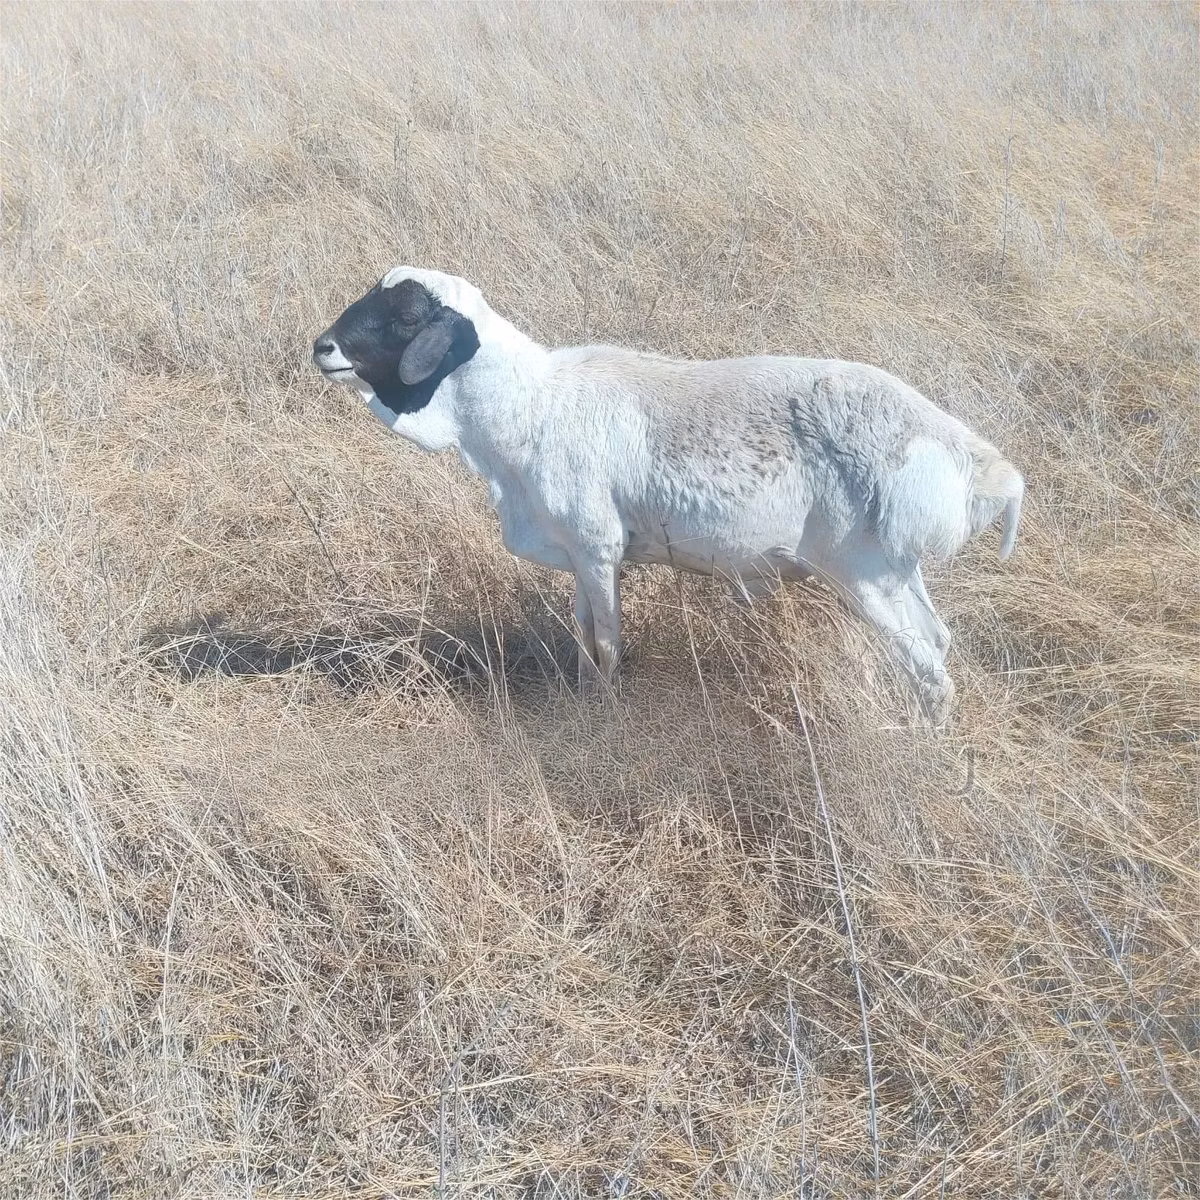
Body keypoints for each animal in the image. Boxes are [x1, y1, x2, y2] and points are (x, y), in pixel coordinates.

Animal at [313, 267, 1024, 722]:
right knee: (938, 641)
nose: (322, 347)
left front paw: (603, 717)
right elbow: (582, 636)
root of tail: (974, 460)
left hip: (865, 571)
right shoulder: (584, 556)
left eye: (407, 316)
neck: (529, 401)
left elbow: (605, 642)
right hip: (897, 571)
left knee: (925, 659)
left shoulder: (597, 546)